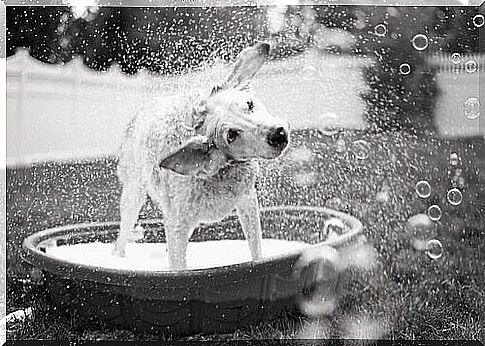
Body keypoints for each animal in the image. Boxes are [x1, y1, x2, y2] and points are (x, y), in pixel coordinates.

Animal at [112, 42, 292, 270]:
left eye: (249, 104)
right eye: (231, 135)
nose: (277, 134)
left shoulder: (247, 200)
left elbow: (256, 249)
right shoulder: (177, 224)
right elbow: (178, 267)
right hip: (134, 192)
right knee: (122, 235)